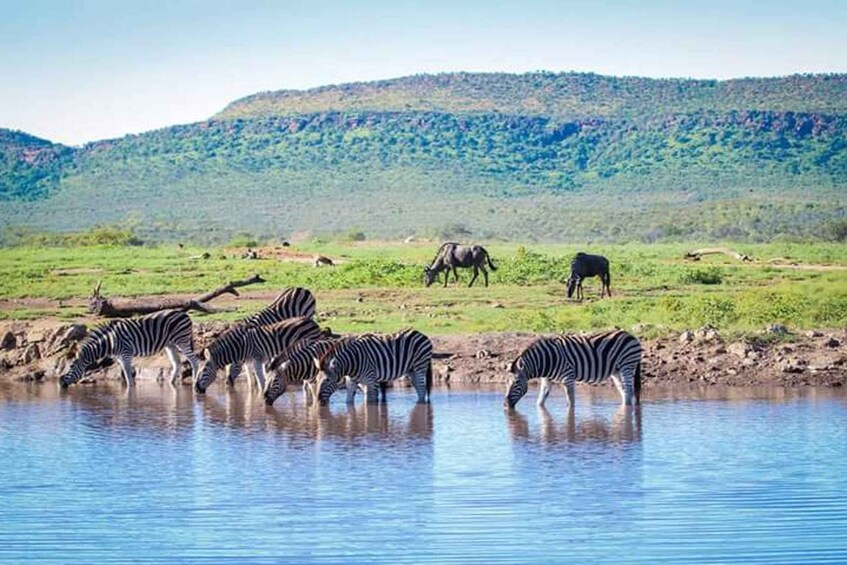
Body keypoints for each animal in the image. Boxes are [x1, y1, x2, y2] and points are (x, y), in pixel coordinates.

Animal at [58, 308, 201, 388]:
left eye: (71, 366)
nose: (60, 383)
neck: (109, 342)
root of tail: (184, 314)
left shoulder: (126, 354)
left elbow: (128, 379)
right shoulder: (120, 358)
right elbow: (126, 375)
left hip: (182, 341)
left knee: (194, 361)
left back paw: (194, 381)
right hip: (170, 344)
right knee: (177, 363)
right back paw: (171, 383)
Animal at [194, 318, 322, 392]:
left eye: (204, 370)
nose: (195, 389)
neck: (242, 345)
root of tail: (312, 322)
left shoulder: (257, 360)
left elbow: (261, 381)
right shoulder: (248, 362)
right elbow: (251, 382)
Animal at [504, 328, 644, 408]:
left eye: (516, 383)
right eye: (507, 383)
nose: (505, 406)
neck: (548, 360)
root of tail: (632, 336)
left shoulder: (568, 377)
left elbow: (570, 402)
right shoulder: (546, 380)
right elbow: (540, 401)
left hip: (627, 365)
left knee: (629, 391)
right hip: (616, 370)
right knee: (624, 392)